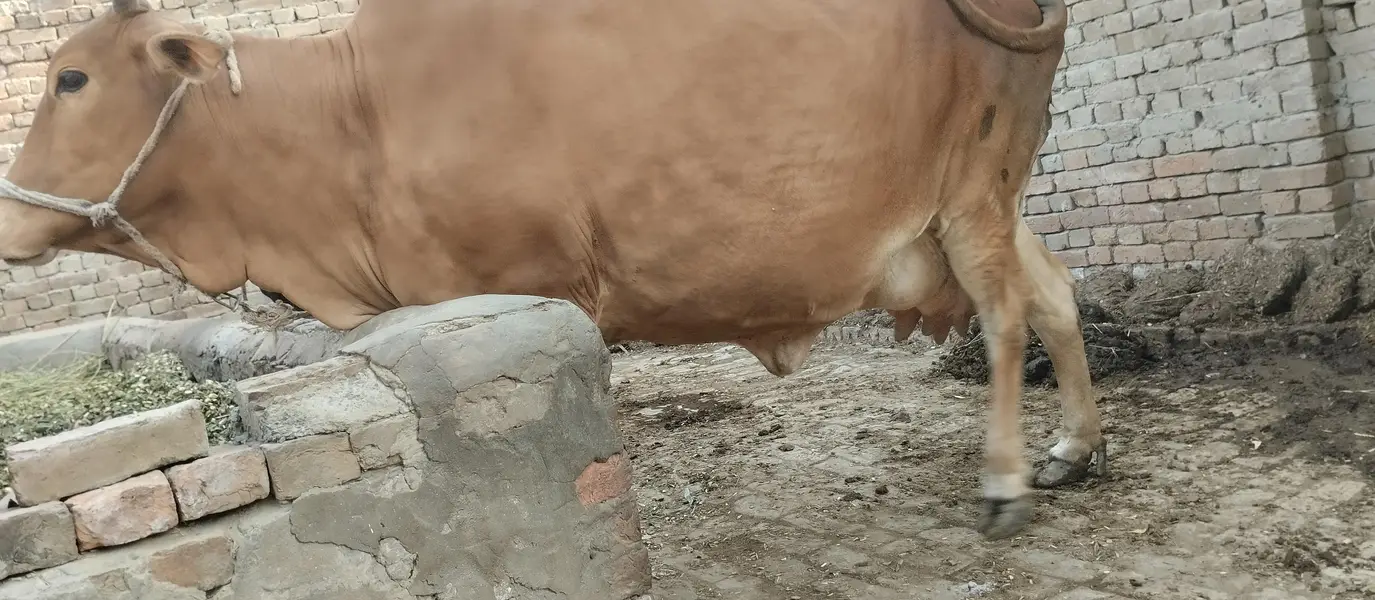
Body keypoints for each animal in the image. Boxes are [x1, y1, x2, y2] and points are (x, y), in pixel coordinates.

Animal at [0, 0, 1104, 540]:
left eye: (73, 76)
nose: (10, 214)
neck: (348, 121)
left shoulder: (528, 288)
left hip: (971, 186)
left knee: (1007, 315)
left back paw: (1007, 479)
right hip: (978, 203)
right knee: (1055, 294)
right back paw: (1072, 449)